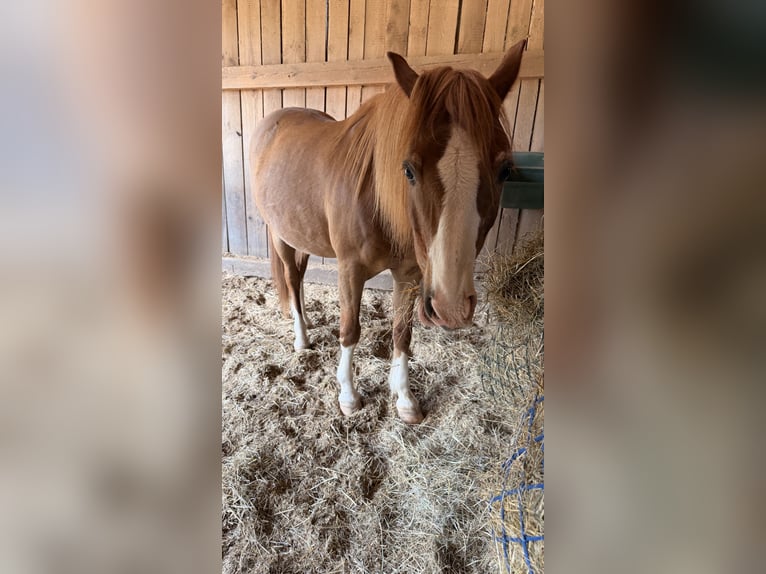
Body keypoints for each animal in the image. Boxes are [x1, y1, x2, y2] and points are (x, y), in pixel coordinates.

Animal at [251, 40, 525, 424]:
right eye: (408, 169)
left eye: (504, 171)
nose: (452, 308)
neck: (377, 201)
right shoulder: (350, 270)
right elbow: (350, 330)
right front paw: (348, 397)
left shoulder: (409, 274)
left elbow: (401, 333)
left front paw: (405, 399)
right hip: (280, 236)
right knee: (291, 279)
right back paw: (301, 339)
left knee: (300, 280)